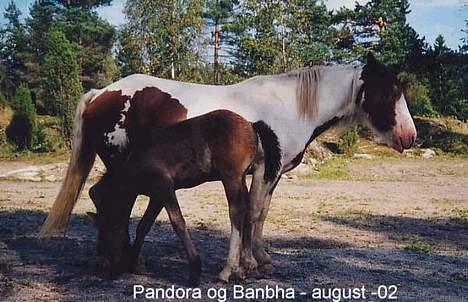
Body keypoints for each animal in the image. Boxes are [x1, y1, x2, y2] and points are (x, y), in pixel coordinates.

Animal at [88, 109, 260, 284]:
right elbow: (143, 226)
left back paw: (227, 271)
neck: (136, 161)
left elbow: (178, 223)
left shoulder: (165, 187)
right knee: (247, 211)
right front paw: (133, 263)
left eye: (108, 231)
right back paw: (243, 269)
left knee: (236, 214)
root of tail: (249, 126)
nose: (110, 270)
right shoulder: (157, 196)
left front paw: (195, 269)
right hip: (241, 179)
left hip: (231, 178)